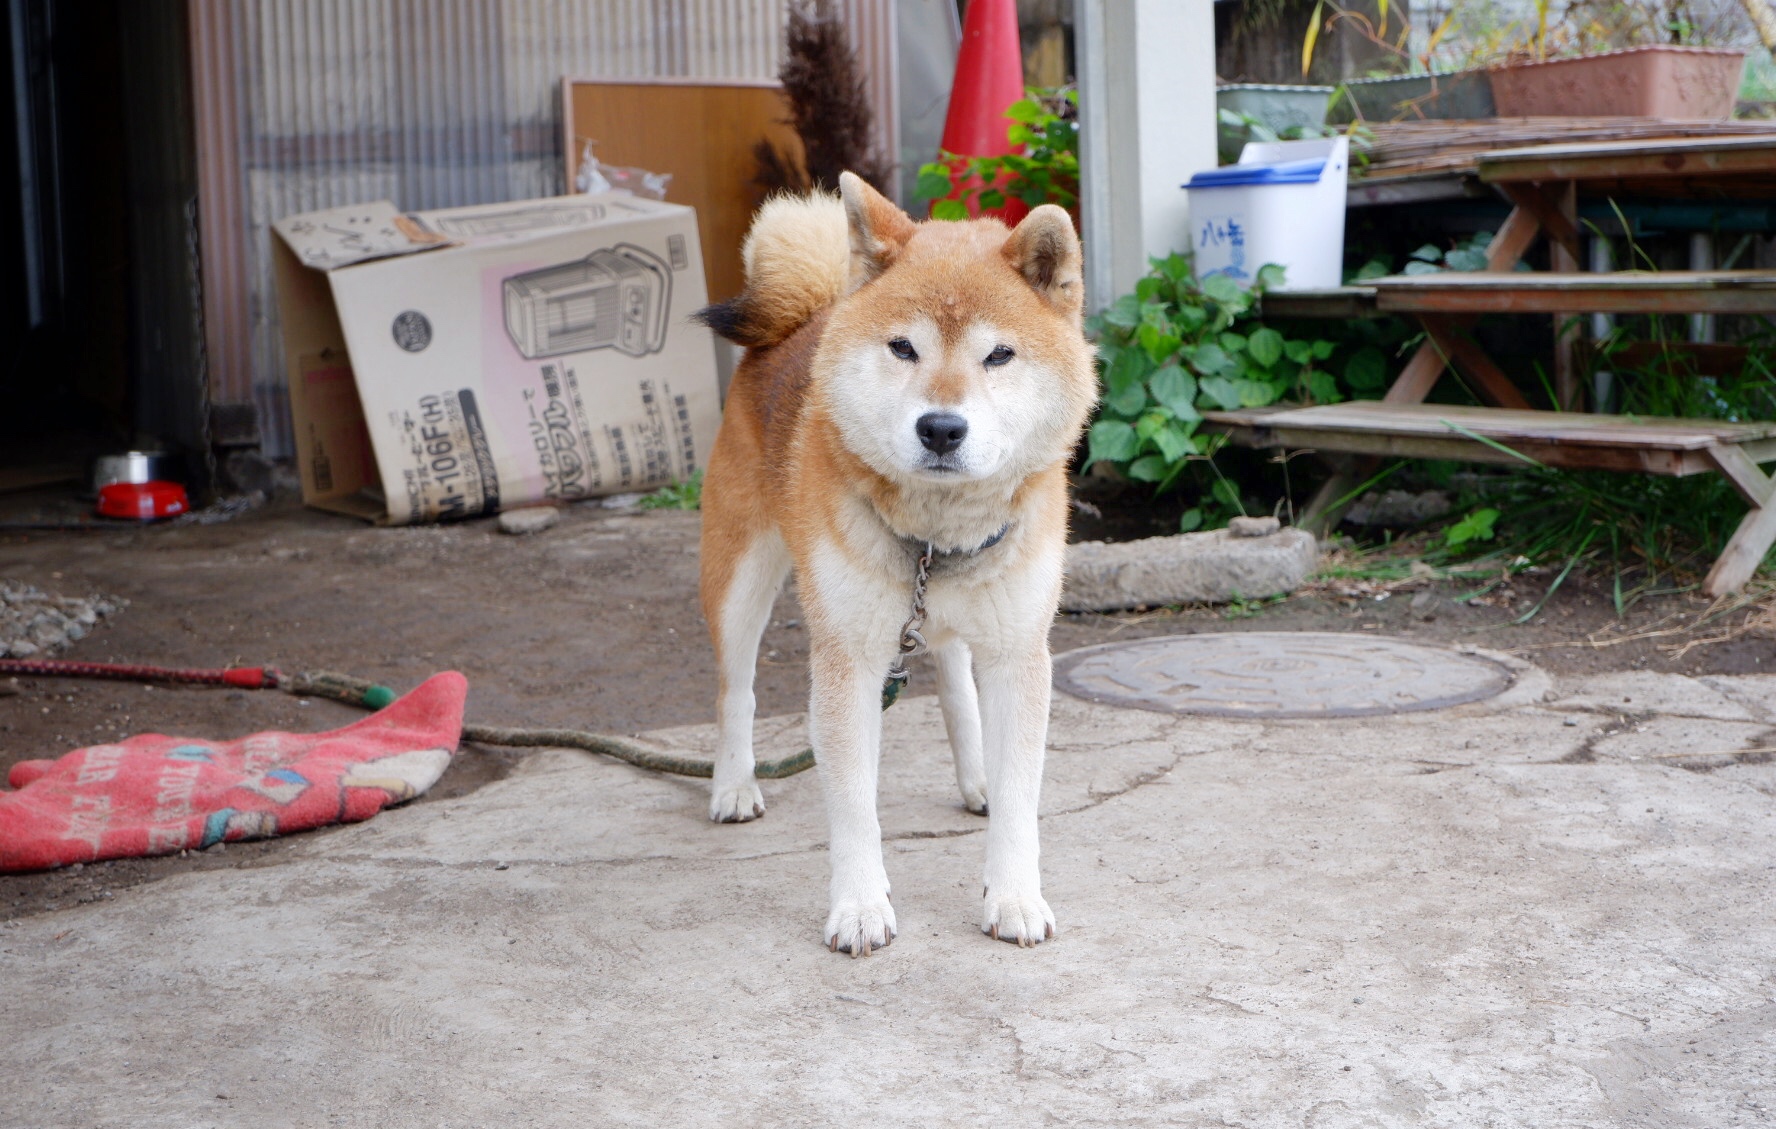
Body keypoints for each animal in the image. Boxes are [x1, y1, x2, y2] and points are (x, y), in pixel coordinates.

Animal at [696, 173, 1094, 951]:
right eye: (903, 348)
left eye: (999, 355)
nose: (941, 428)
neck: (937, 537)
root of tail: (808, 314)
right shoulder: (848, 656)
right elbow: (854, 805)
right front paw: (858, 906)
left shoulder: (1019, 651)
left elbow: (1020, 796)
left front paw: (1014, 895)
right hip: (740, 579)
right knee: (735, 689)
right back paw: (734, 784)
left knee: (954, 686)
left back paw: (975, 779)